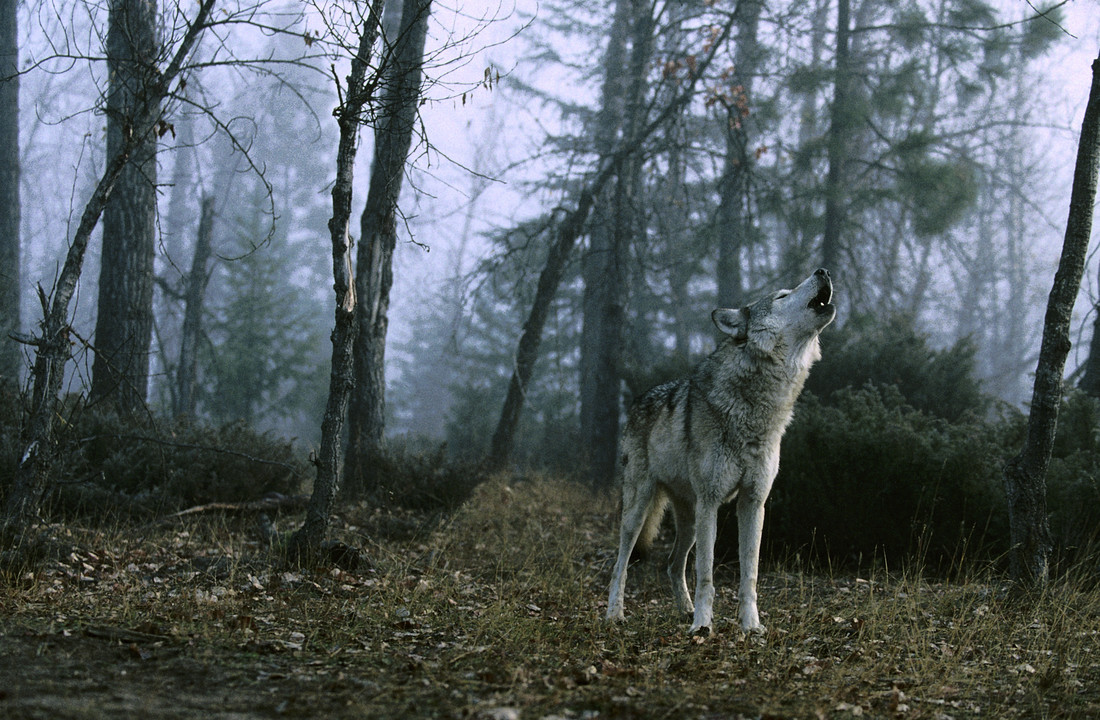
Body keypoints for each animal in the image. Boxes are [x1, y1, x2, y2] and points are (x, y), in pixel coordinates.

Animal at [602, 270, 831, 637]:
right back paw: (616, 614)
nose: (822, 271)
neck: (757, 412)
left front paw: (751, 627)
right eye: (782, 296)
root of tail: (638, 400)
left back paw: (684, 609)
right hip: (640, 512)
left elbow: (749, 575)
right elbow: (707, 574)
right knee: (619, 565)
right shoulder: (711, 502)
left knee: (672, 565)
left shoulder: (753, 502)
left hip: (690, 520)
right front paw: (703, 626)